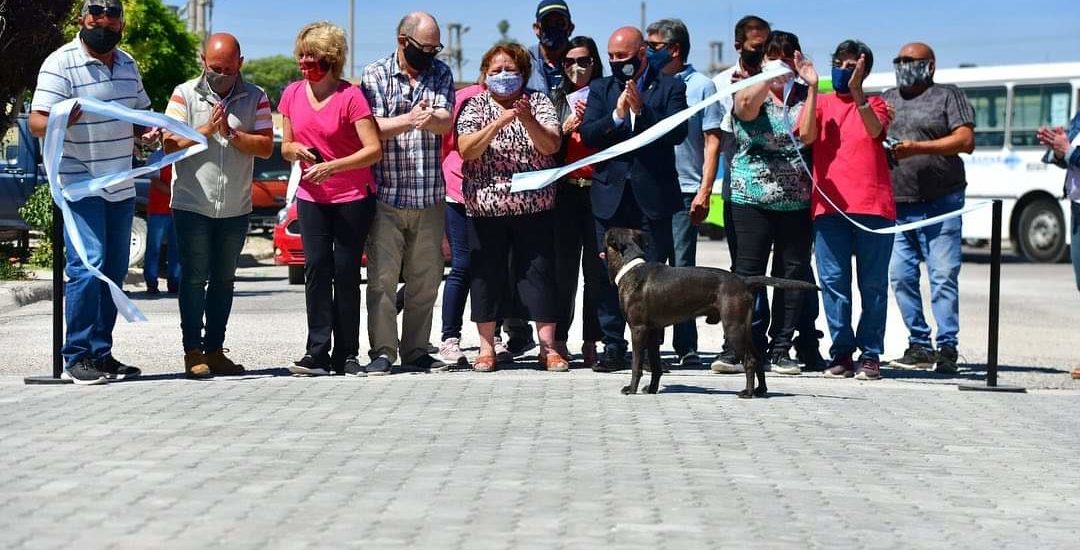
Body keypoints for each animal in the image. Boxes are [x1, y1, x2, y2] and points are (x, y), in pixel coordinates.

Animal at [609, 226, 816, 399]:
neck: (632, 266)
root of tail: (743, 281)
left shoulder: (638, 330)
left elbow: (636, 365)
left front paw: (632, 389)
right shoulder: (653, 332)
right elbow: (656, 366)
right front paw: (652, 389)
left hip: (733, 328)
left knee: (749, 360)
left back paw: (748, 393)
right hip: (744, 328)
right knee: (757, 358)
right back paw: (760, 390)